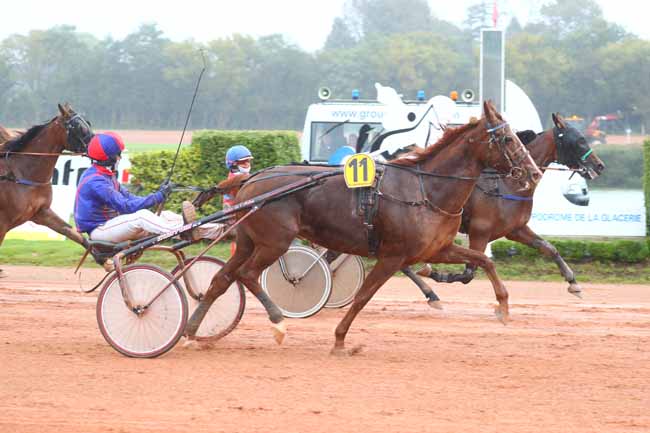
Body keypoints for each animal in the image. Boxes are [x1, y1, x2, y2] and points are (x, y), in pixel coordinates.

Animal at [184, 101, 540, 354]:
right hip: (275, 242)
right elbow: (363, 296)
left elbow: (483, 261)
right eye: (507, 138)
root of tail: (252, 179)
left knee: (221, 279)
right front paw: (341, 340)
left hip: (248, 241)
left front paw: (503, 307)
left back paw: (192, 332)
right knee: (247, 275)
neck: (425, 190)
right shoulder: (392, 256)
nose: (534, 172)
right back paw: (278, 323)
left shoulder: (437, 248)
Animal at [418, 113, 604, 296]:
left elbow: (549, 247)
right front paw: (434, 273)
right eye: (580, 140)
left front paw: (573, 282)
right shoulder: (480, 231)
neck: (507, 185)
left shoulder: (515, 229)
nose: (600, 165)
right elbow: (469, 272)